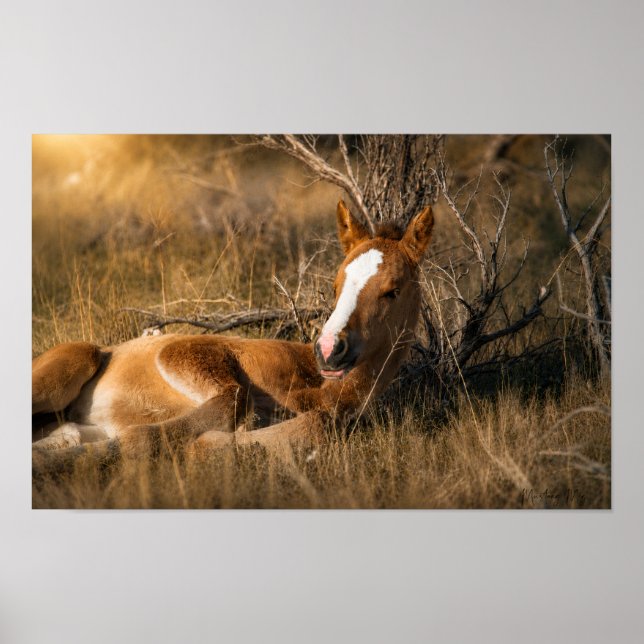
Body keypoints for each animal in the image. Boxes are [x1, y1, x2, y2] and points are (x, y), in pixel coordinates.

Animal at [32, 200, 434, 459]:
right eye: (335, 285)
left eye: (393, 290)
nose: (329, 349)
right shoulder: (190, 352)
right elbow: (232, 399)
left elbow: (314, 424)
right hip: (70, 363)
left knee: (63, 430)